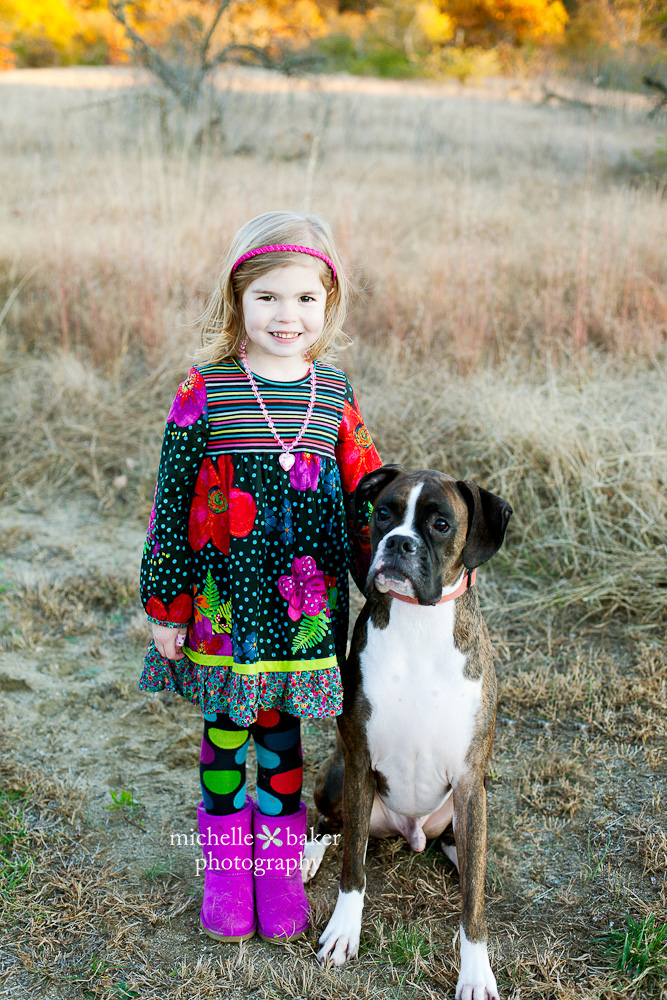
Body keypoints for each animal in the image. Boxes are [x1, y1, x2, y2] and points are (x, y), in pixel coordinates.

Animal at [306, 464, 516, 996]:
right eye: (384, 513)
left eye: (440, 524)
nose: (399, 543)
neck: (420, 622)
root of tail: (410, 830)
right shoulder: (360, 761)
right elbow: (352, 870)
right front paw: (343, 933)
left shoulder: (469, 781)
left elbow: (473, 905)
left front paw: (476, 971)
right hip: (337, 775)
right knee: (332, 825)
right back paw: (307, 855)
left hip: (467, 805)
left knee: (461, 853)